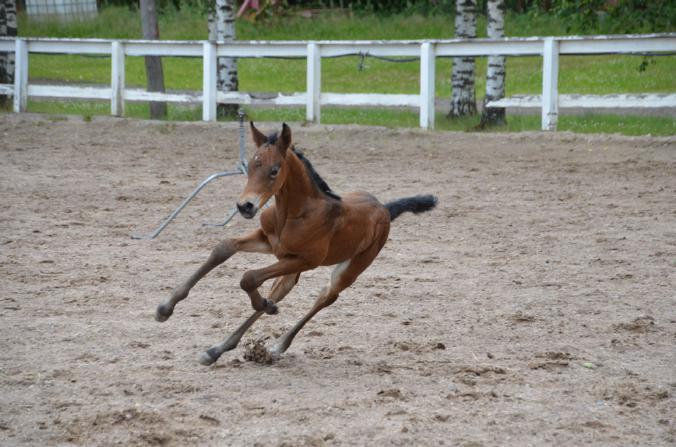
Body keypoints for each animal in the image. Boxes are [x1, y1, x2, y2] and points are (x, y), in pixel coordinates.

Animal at [155, 123, 436, 368]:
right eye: (250, 166)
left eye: (274, 170)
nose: (245, 206)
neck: (294, 213)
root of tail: (385, 208)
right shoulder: (270, 243)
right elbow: (224, 249)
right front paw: (165, 308)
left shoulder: (306, 260)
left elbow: (248, 277)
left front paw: (265, 306)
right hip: (291, 267)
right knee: (281, 290)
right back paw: (219, 347)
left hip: (351, 268)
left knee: (326, 296)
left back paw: (277, 343)